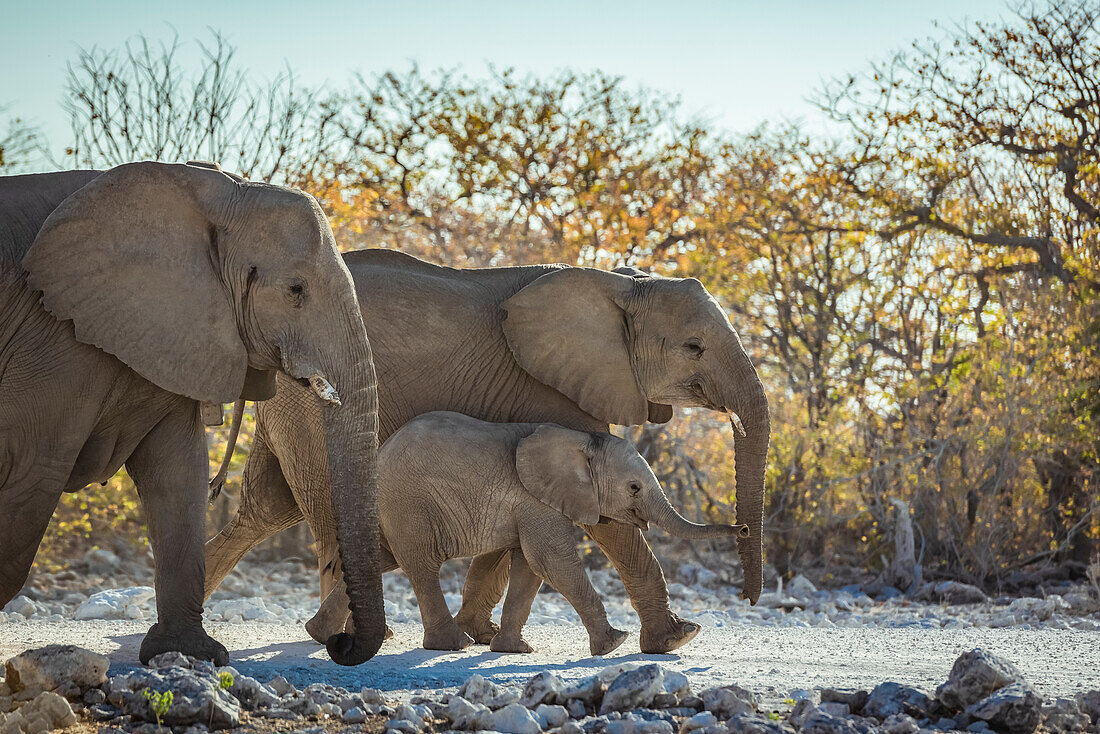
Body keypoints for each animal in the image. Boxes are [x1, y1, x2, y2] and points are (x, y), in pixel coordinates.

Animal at [0, 163, 387, 669]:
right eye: (295, 290)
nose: (340, 644)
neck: (212, 192)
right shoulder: (52, 340)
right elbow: (32, 474)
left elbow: (178, 472)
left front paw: (189, 654)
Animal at [206, 248, 774, 655]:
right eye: (694, 347)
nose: (751, 596)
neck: (618, 282)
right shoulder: (549, 387)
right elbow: (608, 525)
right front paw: (674, 640)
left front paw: (485, 636)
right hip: (310, 402)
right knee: (325, 508)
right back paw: (352, 638)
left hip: (287, 408)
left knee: (265, 511)